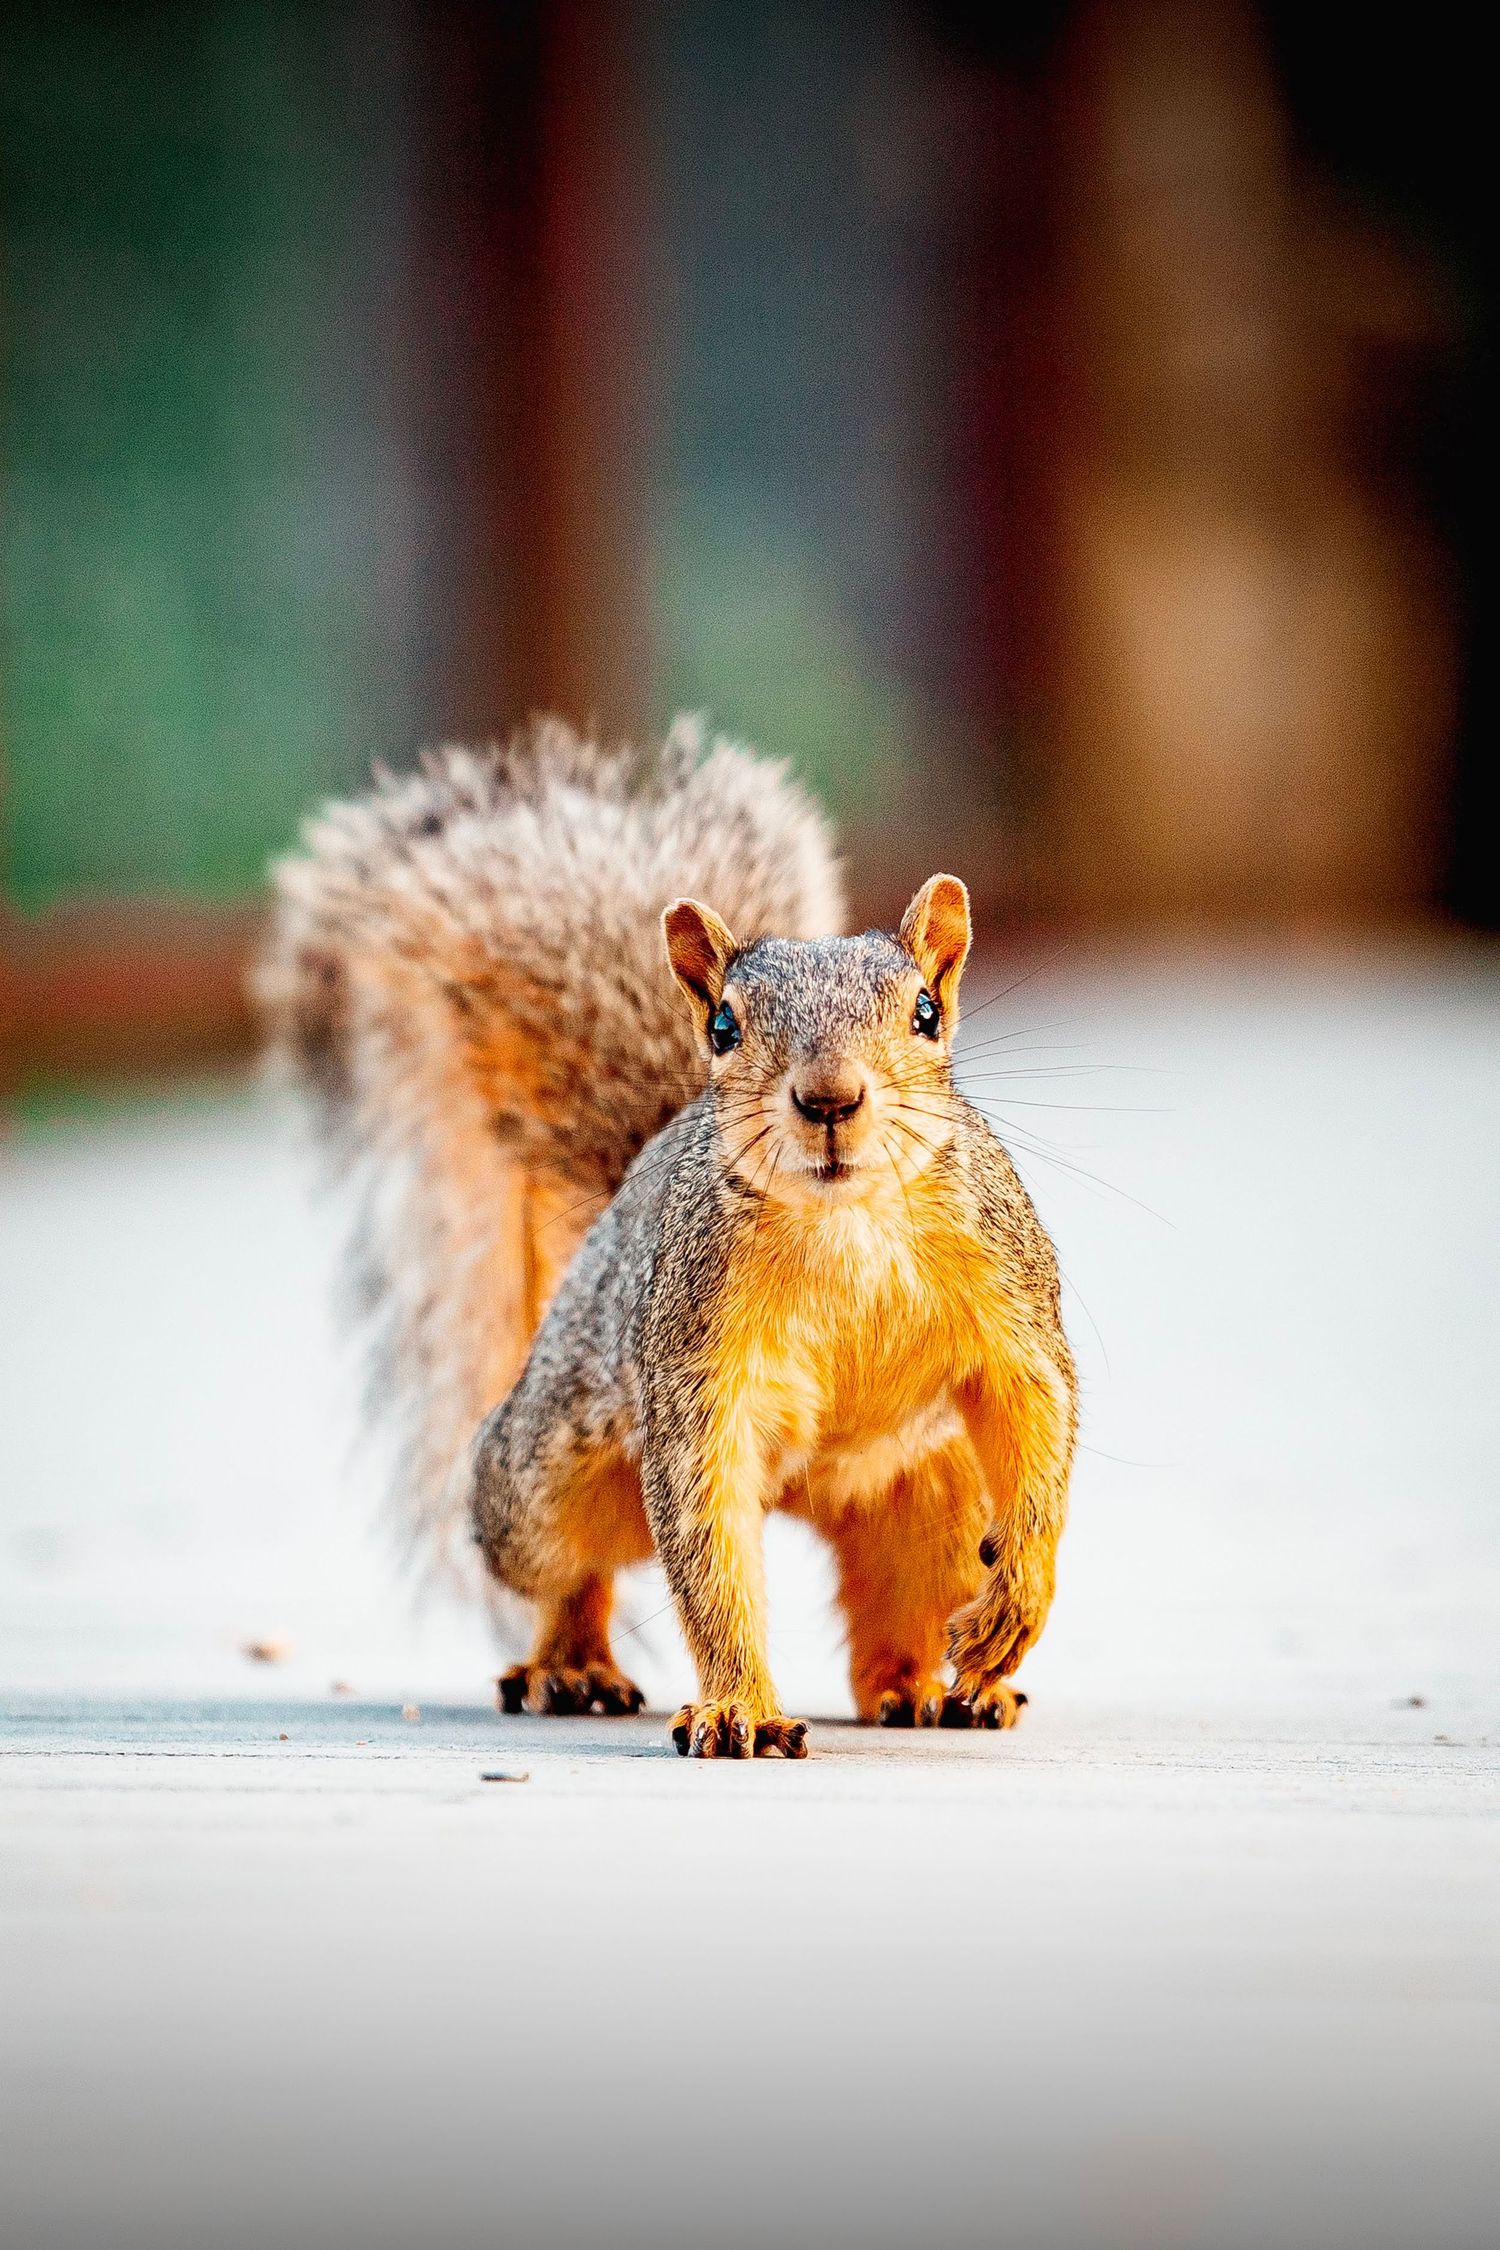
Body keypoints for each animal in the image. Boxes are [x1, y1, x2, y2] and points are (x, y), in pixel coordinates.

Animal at [263, 715, 1076, 1758]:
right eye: (724, 1027)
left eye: (927, 1015)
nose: (828, 1099)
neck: (842, 1217)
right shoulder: (696, 1364)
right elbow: (707, 1542)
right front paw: (739, 1710)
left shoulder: (1006, 1284)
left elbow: (1038, 1410)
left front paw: (1019, 1599)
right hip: (545, 1477)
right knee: (564, 1567)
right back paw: (569, 1664)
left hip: (933, 1489)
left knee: (902, 1608)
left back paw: (936, 1688)